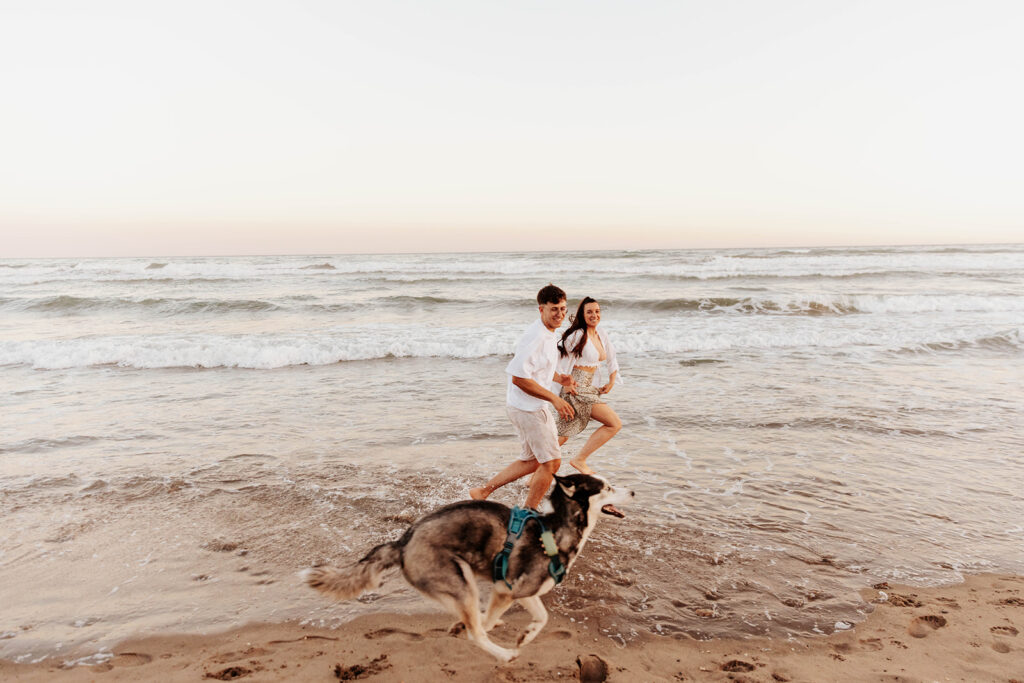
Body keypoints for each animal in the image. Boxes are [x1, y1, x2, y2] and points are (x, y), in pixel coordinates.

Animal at [302, 473, 633, 661]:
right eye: (607, 487)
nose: (632, 492)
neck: (555, 530)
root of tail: (403, 540)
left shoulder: (519, 590)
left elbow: (542, 617)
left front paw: (524, 634)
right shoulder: (506, 592)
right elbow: (485, 624)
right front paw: (489, 631)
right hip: (462, 583)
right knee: (477, 632)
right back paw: (503, 654)